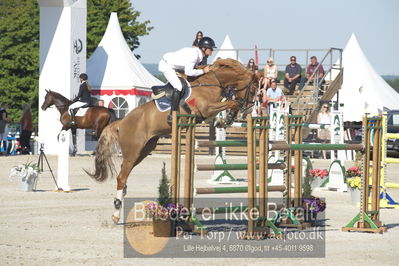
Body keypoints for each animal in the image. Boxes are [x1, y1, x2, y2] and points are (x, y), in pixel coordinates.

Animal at [85, 58, 260, 222]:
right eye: (252, 90)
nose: (249, 110)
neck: (212, 81)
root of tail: (121, 122)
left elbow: (226, 106)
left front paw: (224, 120)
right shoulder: (206, 109)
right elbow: (232, 102)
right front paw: (228, 117)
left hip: (144, 151)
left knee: (124, 174)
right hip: (133, 152)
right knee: (121, 177)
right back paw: (116, 213)